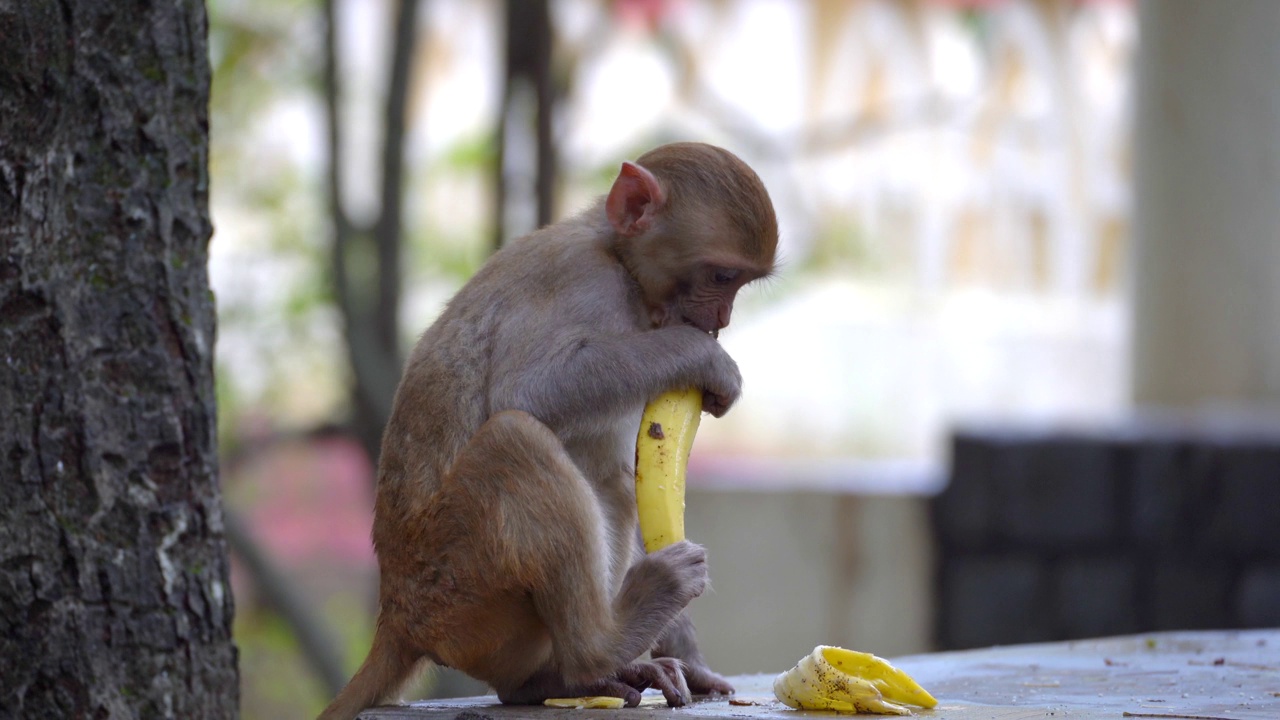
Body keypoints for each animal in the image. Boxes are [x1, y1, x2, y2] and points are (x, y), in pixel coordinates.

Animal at [320, 141, 778, 717]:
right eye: (721, 276)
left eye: (738, 283)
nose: (721, 318)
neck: (620, 264)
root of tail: (399, 617)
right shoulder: (584, 283)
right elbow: (527, 390)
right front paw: (705, 359)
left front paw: (695, 666)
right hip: (458, 588)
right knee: (516, 439)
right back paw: (598, 648)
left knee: (608, 482)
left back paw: (550, 679)